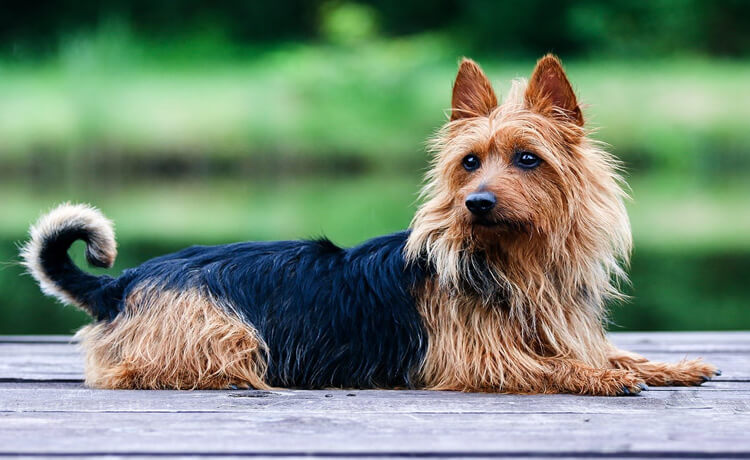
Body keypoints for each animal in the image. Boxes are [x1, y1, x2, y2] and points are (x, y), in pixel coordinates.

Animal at [20, 53, 720, 392]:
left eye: (528, 158)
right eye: (470, 162)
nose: (476, 203)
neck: (510, 261)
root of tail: (120, 282)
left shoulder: (559, 332)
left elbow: (613, 351)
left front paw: (671, 366)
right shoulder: (477, 360)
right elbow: (555, 368)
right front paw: (604, 379)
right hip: (221, 330)